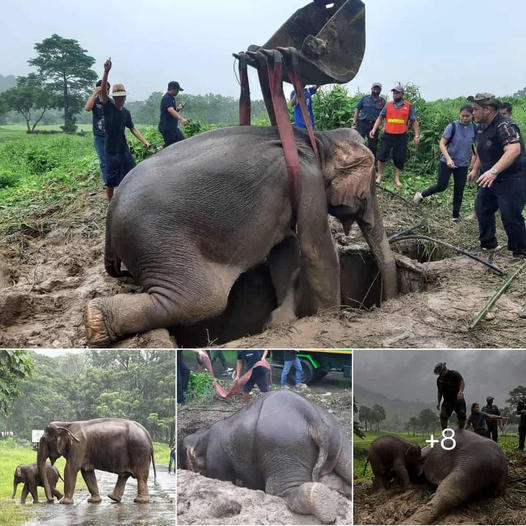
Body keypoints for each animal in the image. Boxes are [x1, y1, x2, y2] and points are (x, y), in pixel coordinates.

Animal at [85, 126, 396, 348]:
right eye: (369, 189)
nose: (389, 301)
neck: (318, 139)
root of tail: (111, 210)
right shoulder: (309, 181)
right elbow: (315, 250)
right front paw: (331, 317)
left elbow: (285, 248)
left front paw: (281, 320)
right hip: (156, 240)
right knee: (203, 299)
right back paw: (94, 321)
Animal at [178, 390, 354, 524]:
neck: (201, 441)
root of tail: (312, 418)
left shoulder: (216, 464)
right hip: (339, 442)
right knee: (347, 465)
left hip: (284, 451)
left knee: (286, 489)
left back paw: (323, 502)